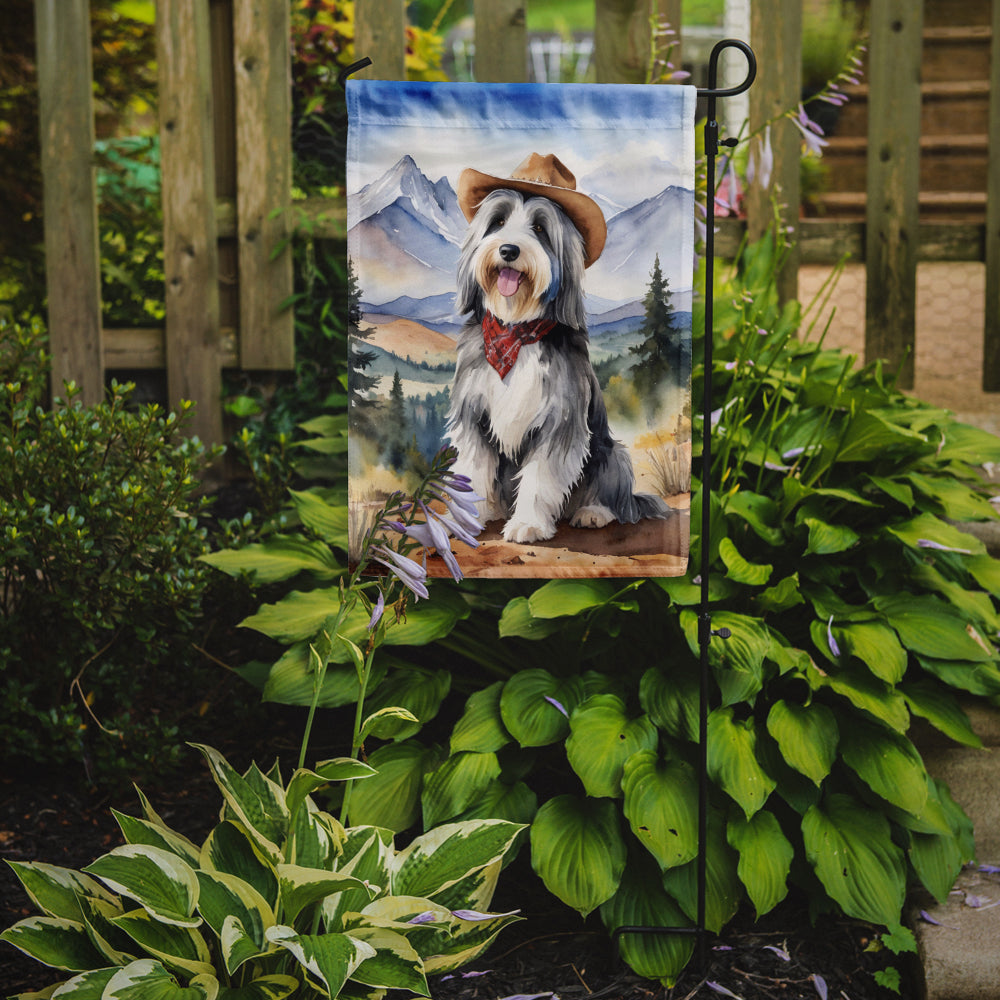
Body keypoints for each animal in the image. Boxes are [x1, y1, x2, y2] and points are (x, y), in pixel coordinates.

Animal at [448, 154, 672, 548]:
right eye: (498, 222)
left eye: (540, 228)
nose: (508, 250)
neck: (516, 333)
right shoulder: (473, 414)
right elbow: (473, 470)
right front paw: (466, 519)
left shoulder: (561, 419)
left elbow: (541, 475)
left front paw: (528, 524)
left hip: (612, 454)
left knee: (613, 498)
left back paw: (594, 512)